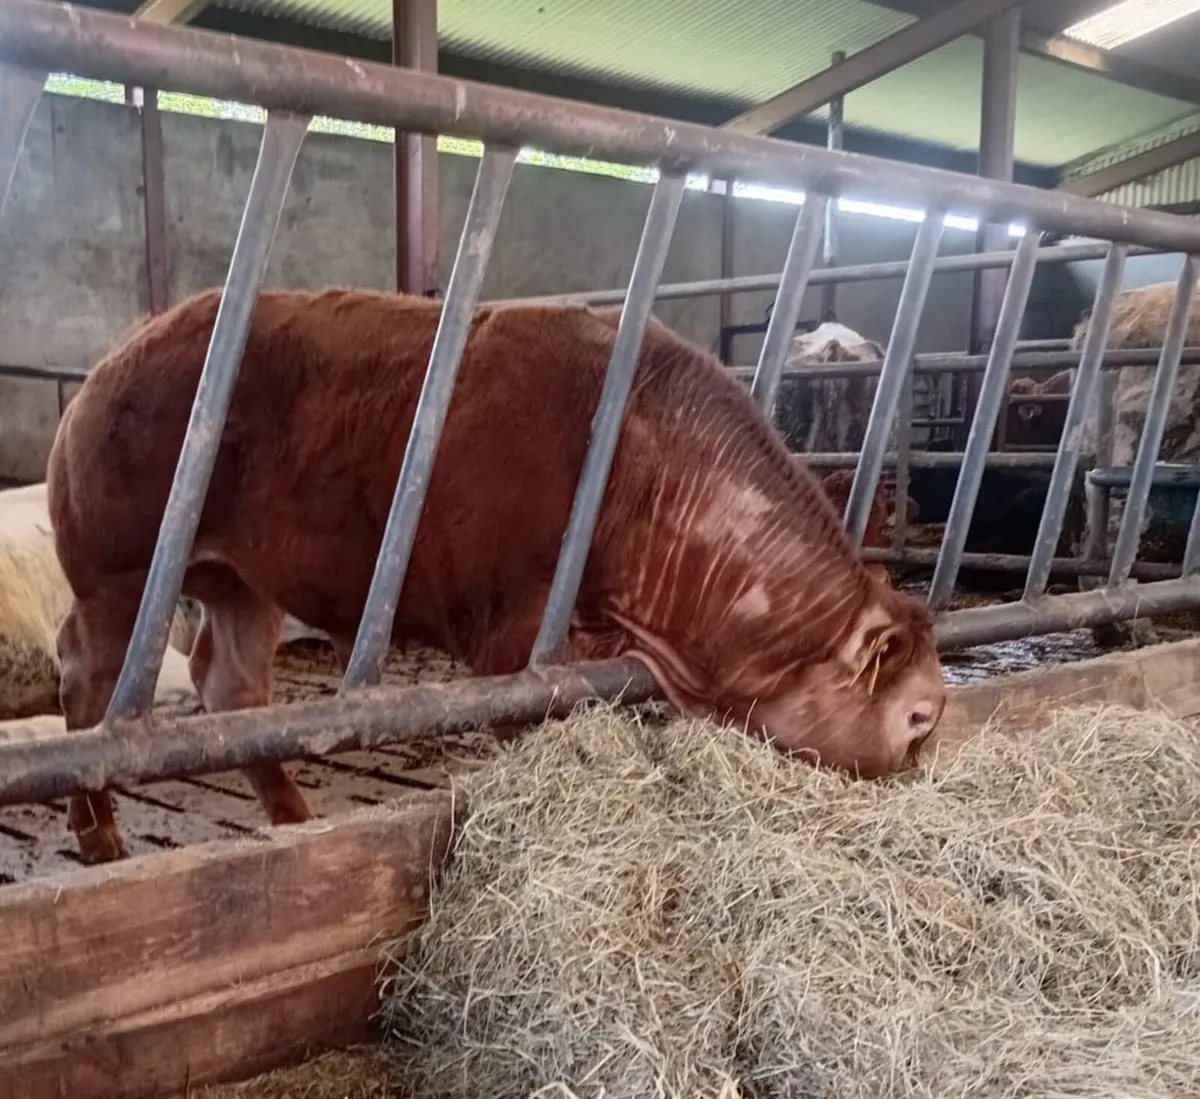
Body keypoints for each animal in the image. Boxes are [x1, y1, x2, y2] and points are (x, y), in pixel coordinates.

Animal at [48, 288, 947, 865]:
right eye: (918, 717)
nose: (922, 783)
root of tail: (121, 356)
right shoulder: (513, 633)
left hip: (244, 581)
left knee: (228, 683)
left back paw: (294, 817)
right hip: (116, 571)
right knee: (87, 681)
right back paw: (98, 829)